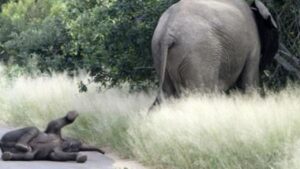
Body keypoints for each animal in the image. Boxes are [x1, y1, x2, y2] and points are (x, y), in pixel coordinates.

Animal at [151, 0, 280, 105]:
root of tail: (167, 32)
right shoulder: (253, 44)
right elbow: (249, 82)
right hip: (199, 54)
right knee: (201, 92)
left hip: (158, 52)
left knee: (169, 93)